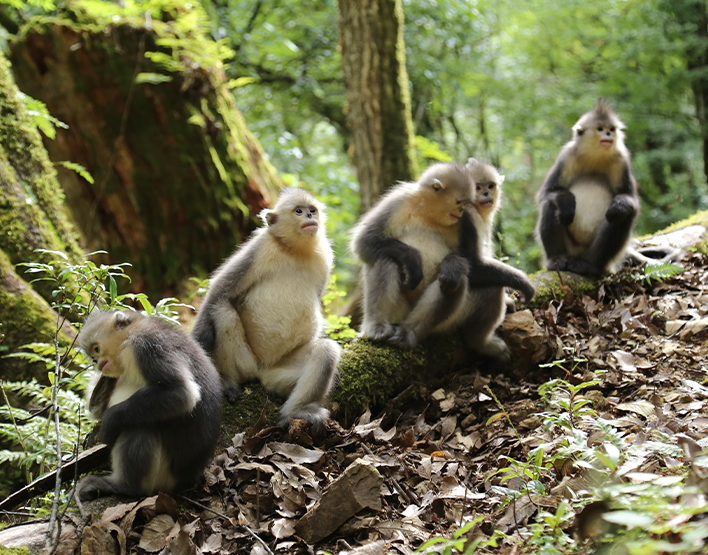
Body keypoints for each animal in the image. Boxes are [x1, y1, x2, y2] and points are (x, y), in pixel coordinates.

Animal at [76, 310, 223, 502]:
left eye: (96, 349)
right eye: (93, 357)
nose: (96, 361)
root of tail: (185, 482)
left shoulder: (146, 346)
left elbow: (182, 393)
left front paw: (108, 424)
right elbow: (97, 411)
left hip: (160, 478)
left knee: (139, 427)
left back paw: (122, 485)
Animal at [191, 189, 340, 436]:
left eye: (312, 210)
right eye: (298, 211)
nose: (310, 217)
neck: (294, 250)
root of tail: (262, 369)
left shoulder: (325, 257)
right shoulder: (259, 247)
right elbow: (219, 291)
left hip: (280, 371)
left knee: (326, 351)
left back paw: (296, 411)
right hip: (245, 361)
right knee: (222, 308)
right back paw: (228, 381)